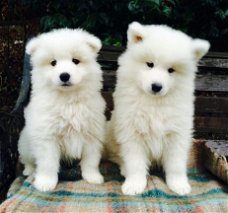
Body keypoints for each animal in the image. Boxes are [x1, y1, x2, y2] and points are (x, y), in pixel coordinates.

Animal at [18, 28, 106, 191]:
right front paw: (46, 182)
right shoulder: (47, 137)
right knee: (28, 160)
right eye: (53, 63)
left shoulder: (92, 134)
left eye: (75, 61)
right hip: (25, 144)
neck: (67, 101)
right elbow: (48, 163)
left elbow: (91, 160)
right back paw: (29, 170)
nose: (64, 75)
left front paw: (92, 177)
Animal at [107, 22, 210, 196]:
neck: (154, 104)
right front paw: (134, 184)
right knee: (117, 156)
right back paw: (124, 169)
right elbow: (135, 162)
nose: (156, 86)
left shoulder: (177, 134)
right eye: (150, 64)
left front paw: (178, 184)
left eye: (171, 70)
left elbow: (176, 164)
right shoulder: (131, 132)